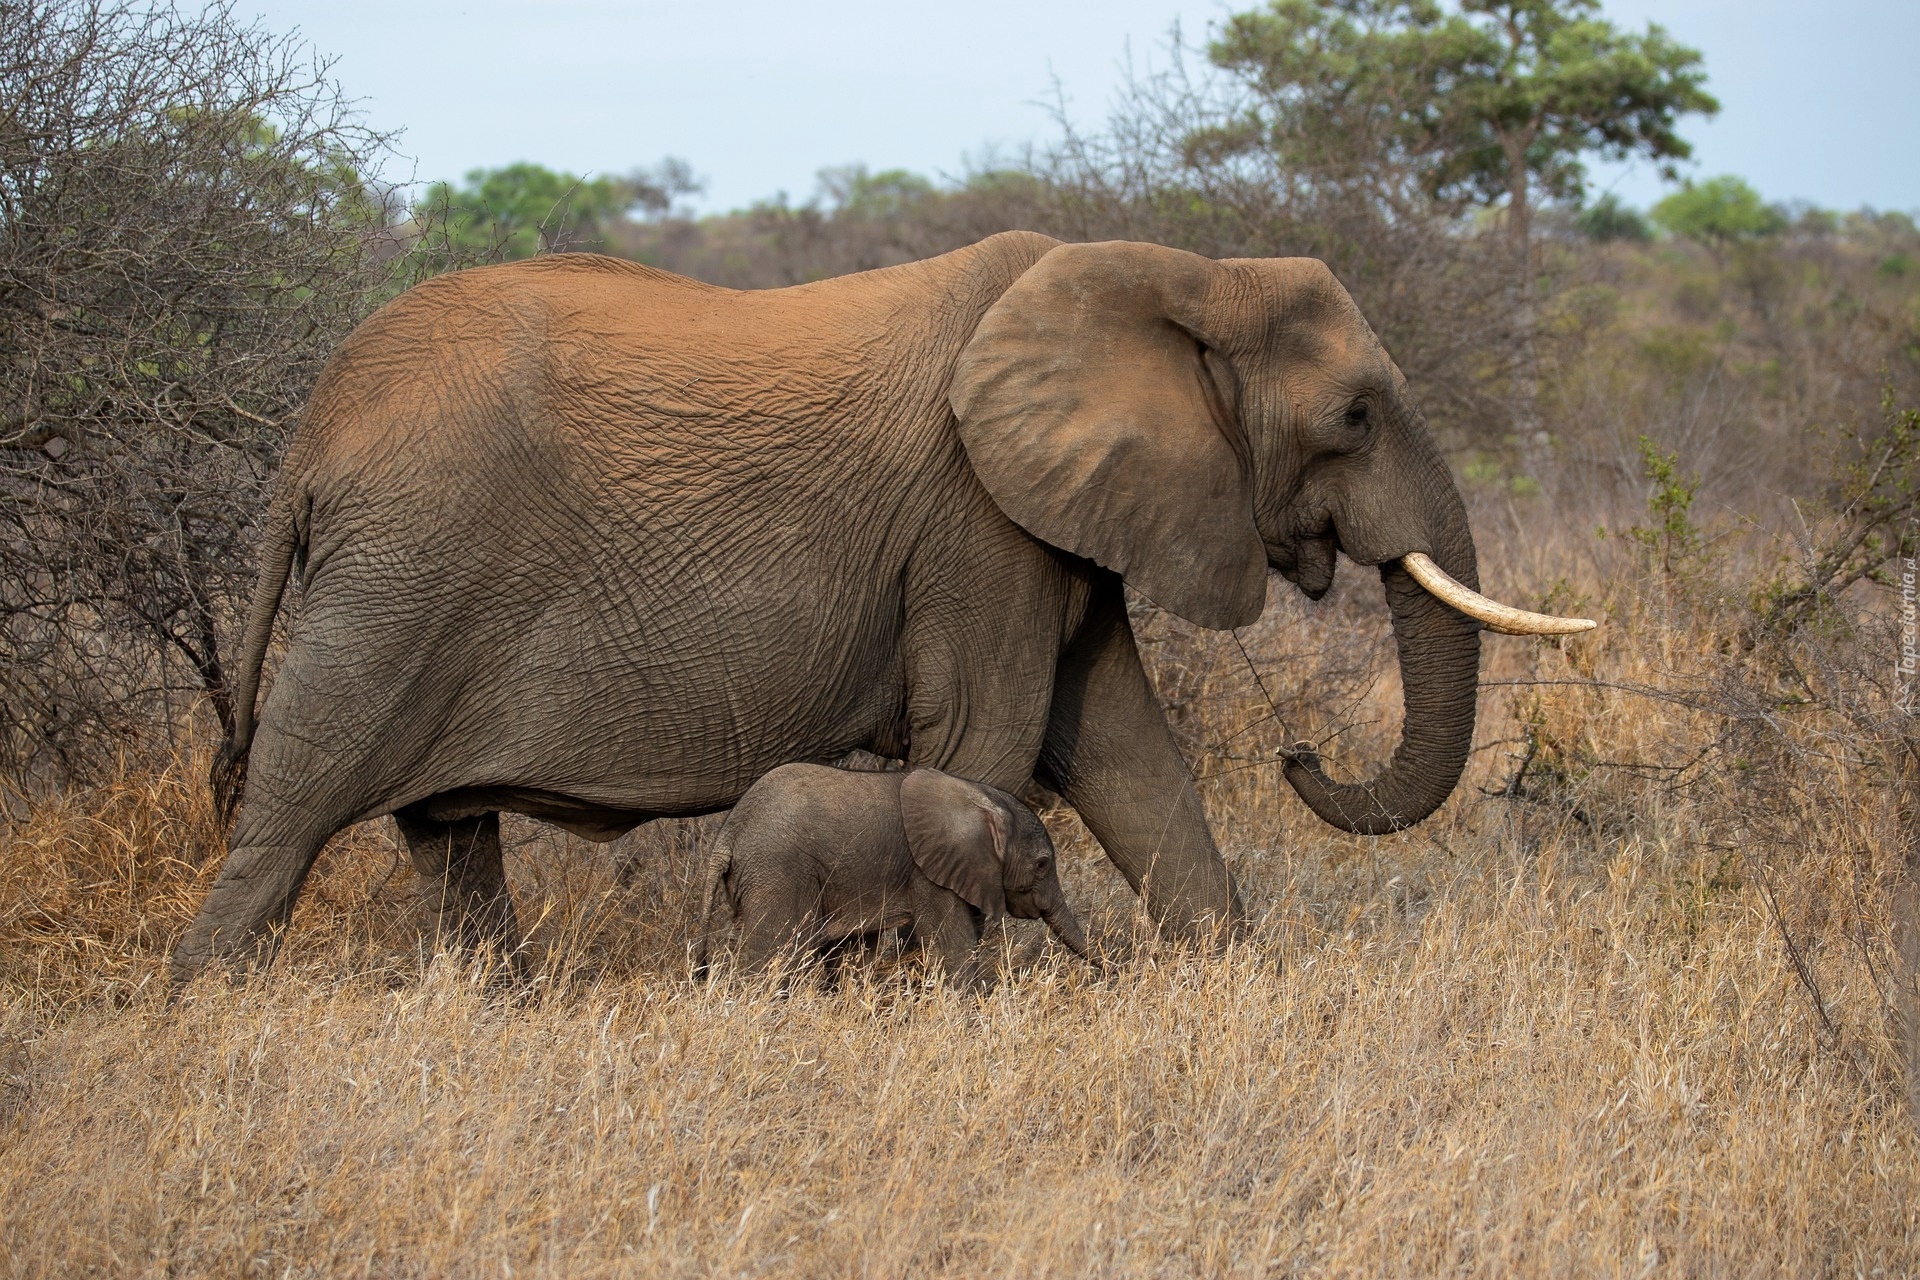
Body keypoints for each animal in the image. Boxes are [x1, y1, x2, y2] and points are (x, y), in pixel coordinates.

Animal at [702, 759, 1098, 990]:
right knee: (778, 951)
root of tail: (728, 833)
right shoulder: (930, 873)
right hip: (778, 870)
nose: (1107, 969)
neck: (980, 797)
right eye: (1042, 864)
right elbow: (954, 947)